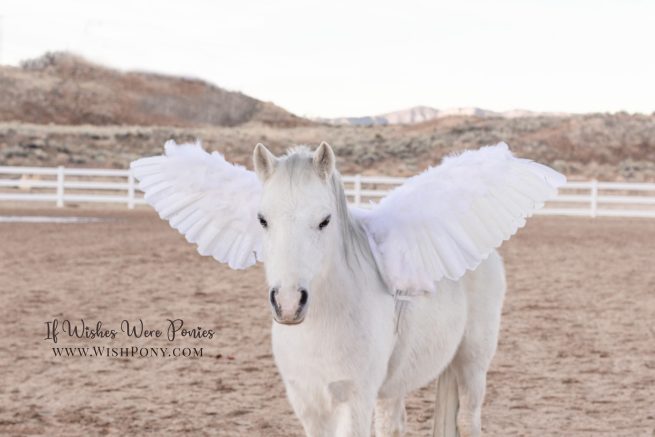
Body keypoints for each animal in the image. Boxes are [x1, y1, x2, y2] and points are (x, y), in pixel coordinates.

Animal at [131, 140, 565, 436]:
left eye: (324, 220)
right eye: (262, 219)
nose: (288, 303)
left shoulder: (354, 399)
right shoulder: (309, 402)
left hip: (472, 363)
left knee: (468, 419)